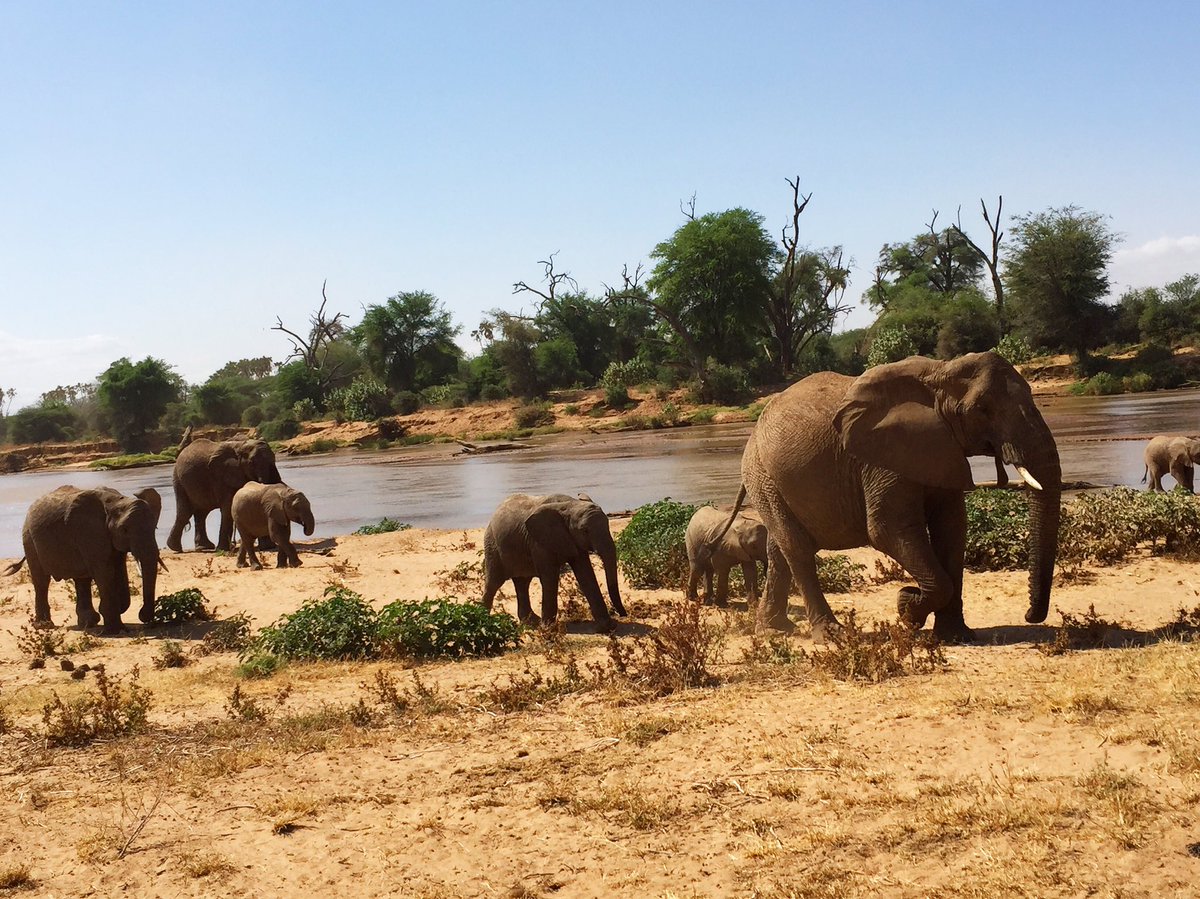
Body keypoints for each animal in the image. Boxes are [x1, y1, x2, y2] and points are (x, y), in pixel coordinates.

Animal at [4, 485, 162, 633]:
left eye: (154, 529)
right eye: (125, 530)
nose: (144, 617)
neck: (117, 502)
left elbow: (118, 568)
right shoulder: (88, 532)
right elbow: (105, 572)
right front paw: (115, 630)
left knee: (81, 579)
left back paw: (88, 623)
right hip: (29, 539)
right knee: (41, 581)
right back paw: (45, 626)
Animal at [481, 493, 626, 633]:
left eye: (608, 524)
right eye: (584, 530)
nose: (623, 614)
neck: (571, 504)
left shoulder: (572, 539)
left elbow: (586, 574)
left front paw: (607, 628)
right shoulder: (539, 541)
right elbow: (549, 578)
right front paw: (548, 630)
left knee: (522, 583)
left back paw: (532, 622)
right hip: (492, 545)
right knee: (494, 583)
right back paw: (485, 621)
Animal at [723, 351, 1061, 643]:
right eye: (982, 410)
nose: (1030, 615)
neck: (940, 371)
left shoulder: (941, 448)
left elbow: (952, 529)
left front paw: (955, 636)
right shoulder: (881, 458)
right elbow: (888, 530)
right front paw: (907, 607)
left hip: (769, 479)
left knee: (779, 552)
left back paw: (774, 631)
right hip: (762, 475)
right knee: (798, 550)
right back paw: (832, 636)